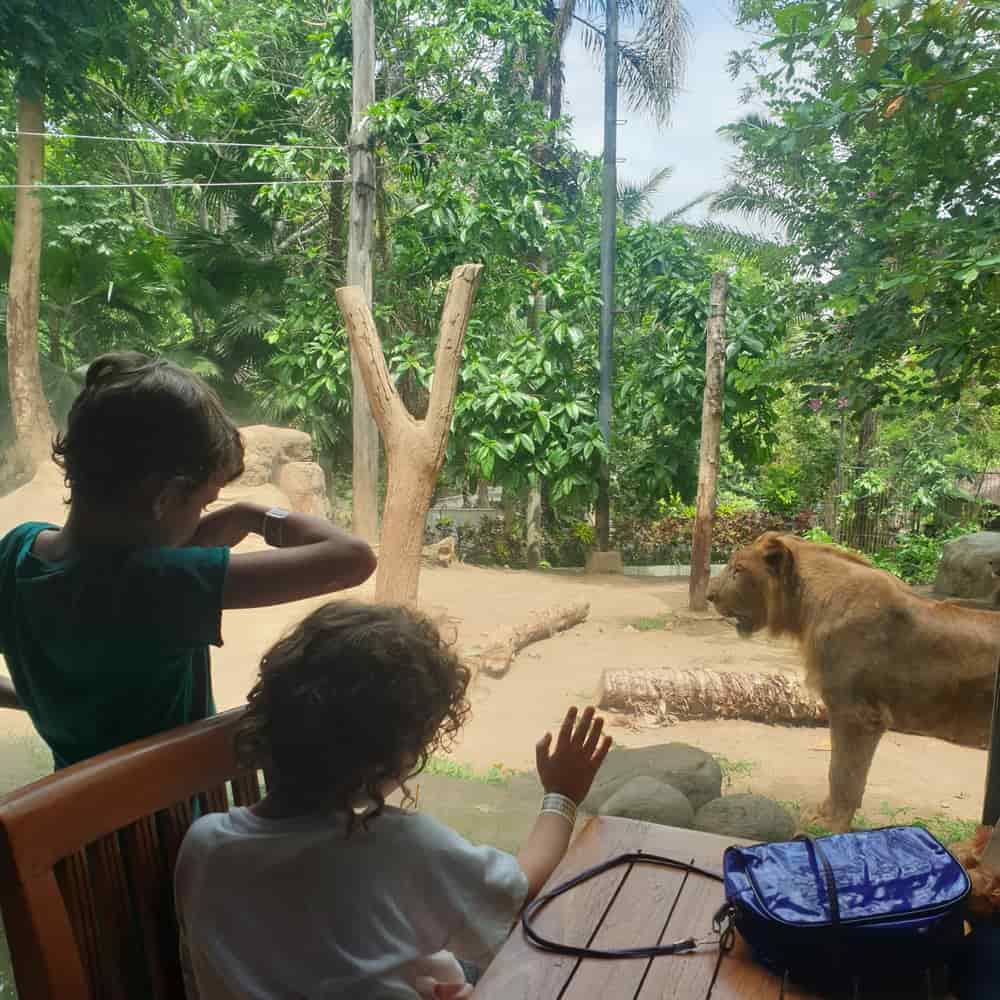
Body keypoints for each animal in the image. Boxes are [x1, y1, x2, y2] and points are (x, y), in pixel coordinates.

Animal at [708, 536, 1000, 832]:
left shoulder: (857, 714)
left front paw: (831, 824)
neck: (806, 607)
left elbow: (843, 773)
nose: (710, 594)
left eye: (738, 569)